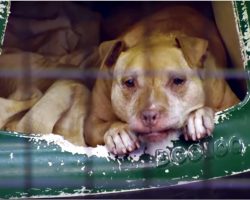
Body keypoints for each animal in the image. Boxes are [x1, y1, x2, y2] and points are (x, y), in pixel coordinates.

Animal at [84, 5, 240, 155]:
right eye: (129, 82)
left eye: (177, 80)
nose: (149, 115)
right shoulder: (92, 123)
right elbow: (107, 124)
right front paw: (119, 131)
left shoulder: (231, 103)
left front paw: (197, 115)